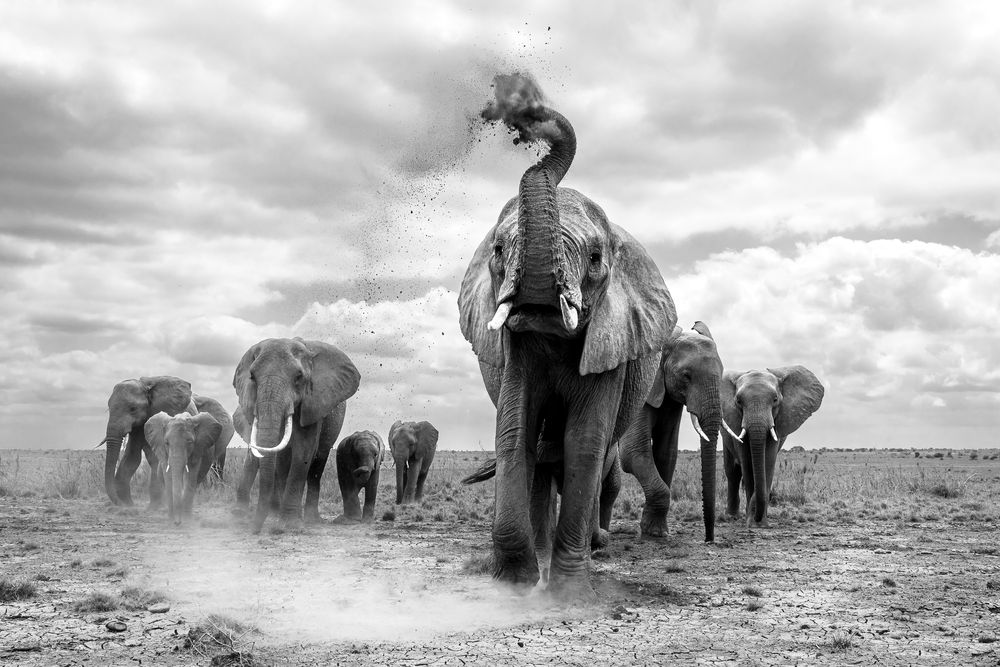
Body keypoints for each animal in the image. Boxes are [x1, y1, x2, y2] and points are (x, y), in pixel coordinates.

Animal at [98, 376, 195, 506]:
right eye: (109, 408)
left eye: (132, 408)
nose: (120, 503)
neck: (145, 387)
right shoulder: (137, 426)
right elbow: (132, 457)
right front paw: (129, 505)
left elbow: (156, 459)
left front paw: (153, 506)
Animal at [233, 337, 360, 533]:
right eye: (252, 376)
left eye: (299, 376)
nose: (255, 530)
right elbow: (281, 455)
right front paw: (283, 523)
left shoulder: (313, 403)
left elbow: (304, 450)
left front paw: (289, 525)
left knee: (317, 464)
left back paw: (311, 520)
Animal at [457, 74, 676, 599]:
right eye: (499, 249)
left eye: (595, 259)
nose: (523, 117)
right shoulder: (516, 350)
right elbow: (515, 431)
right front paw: (515, 585)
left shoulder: (613, 345)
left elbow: (585, 443)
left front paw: (568, 594)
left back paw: (591, 549)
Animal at [618, 322, 723, 541]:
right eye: (686, 376)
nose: (708, 539)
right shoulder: (641, 386)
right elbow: (633, 452)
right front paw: (655, 534)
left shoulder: (669, 398)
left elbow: (666, 454)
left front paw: (656, 532)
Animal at [720, 366, 824, 527]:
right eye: (738, 401)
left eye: (775, 400)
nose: (755, 515)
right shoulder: (735, 420)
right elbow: (747, 464)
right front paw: (752, 522)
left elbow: (768, 461)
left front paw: (760, 523)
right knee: (732, 472)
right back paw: (731, 516)